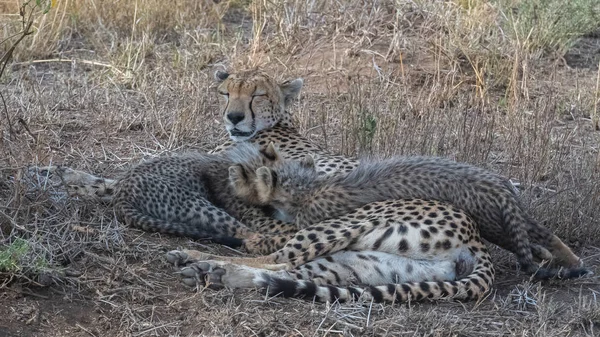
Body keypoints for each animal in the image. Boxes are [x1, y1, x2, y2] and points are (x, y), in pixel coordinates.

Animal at [166, 198, 494, 304]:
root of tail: (476, 237)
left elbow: (259, 244)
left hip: (350, 225)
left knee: (280, 261)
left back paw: (206, 265)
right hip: (367, 264)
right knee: (291, 272)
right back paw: (217, 275)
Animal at [231, 150, 592, 278]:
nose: (237, 174)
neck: (308, 187)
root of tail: (498, 182)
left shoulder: (312, 221)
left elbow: (280, 236)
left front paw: (255, 238)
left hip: (492, 224)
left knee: (528, 237)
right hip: (505, 219)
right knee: (540, 232)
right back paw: (567, 259)